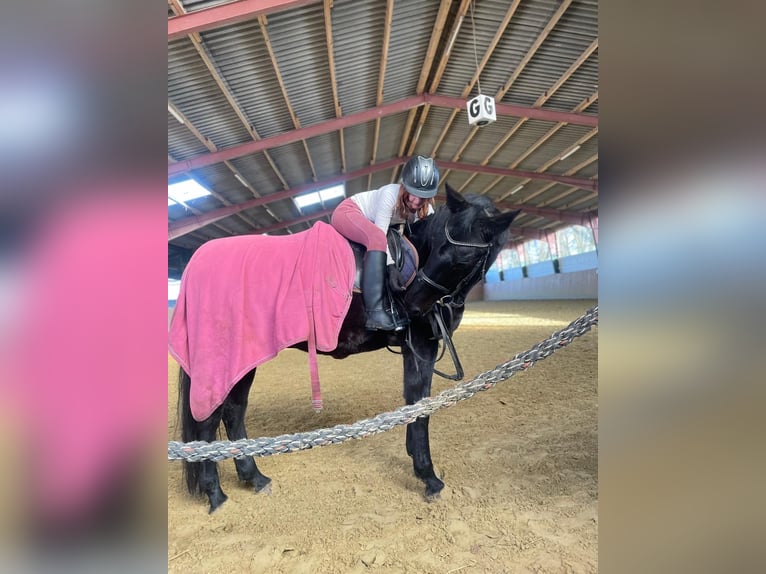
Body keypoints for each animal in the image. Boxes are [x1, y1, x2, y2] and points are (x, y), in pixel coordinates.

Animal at [177, 186, 520, 512]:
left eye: (465, 260)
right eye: (440, 246)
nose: (412, 304)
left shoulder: (417, 347)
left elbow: (413, 403)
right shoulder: (422, 345)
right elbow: (421, 407)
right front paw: (428, 476)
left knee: (232, 414)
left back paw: (254, 478)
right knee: (209, 421)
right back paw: (216, 494)